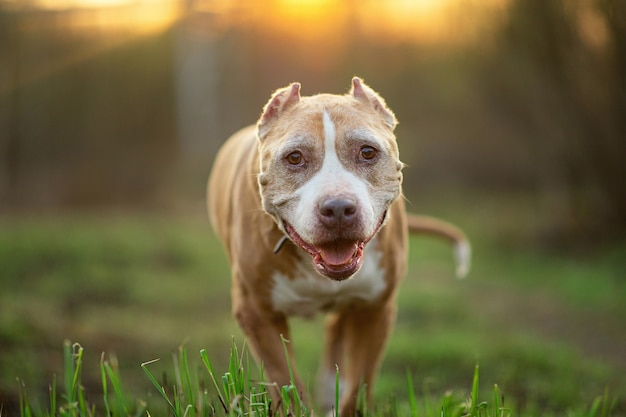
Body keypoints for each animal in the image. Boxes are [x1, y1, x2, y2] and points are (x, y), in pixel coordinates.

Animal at [207, 77, 470, 412]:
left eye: (368, 152)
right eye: (295, 157)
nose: (338, 208)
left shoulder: (374, 309)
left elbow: (360, 383)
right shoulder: (256, 313)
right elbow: (285, 381)